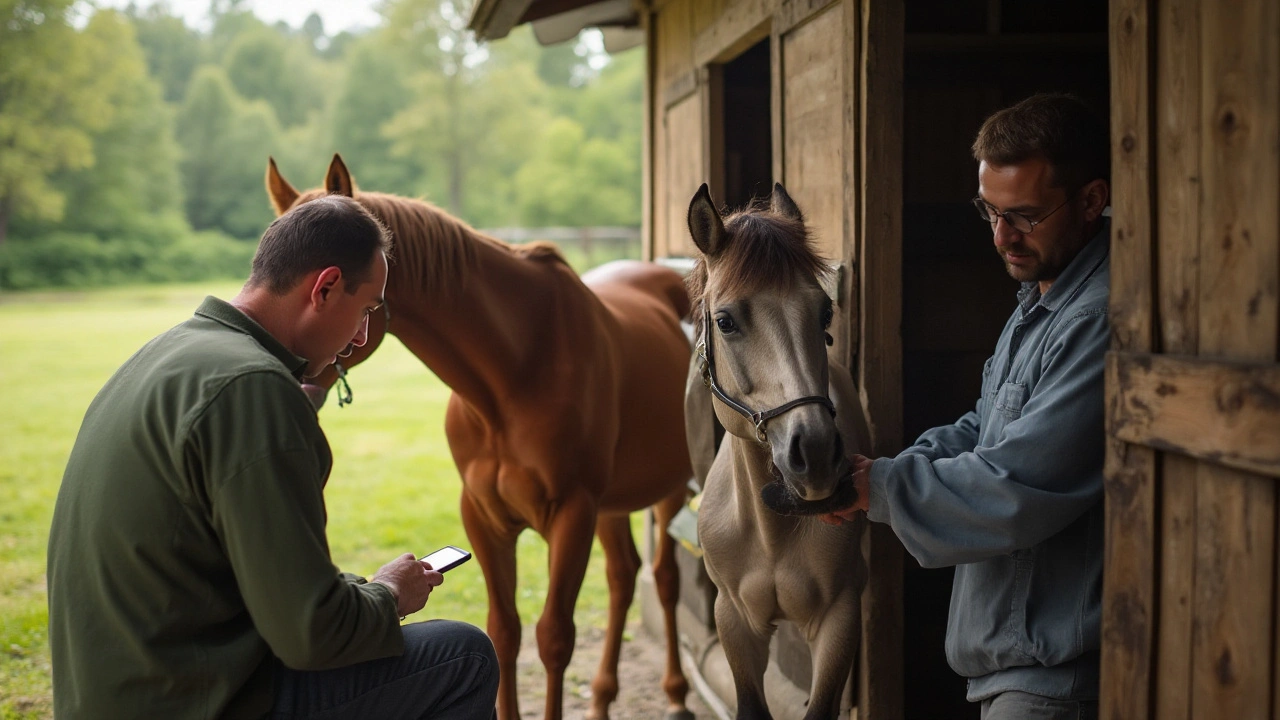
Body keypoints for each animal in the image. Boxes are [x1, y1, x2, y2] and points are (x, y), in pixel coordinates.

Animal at [263, 155, 696, 717]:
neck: (512, 375)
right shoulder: (484, 516)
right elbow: (503, 631)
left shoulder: (572, 513)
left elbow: (554, 637)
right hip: (613, 505)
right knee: (623, 577)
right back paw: (603, 699)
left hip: (668, 491)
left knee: (664, 580)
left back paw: (677, 693)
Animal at [691, 183, 870, 717]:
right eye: (725, 321)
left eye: (824, 312)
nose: (815, 454)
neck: (772, 532)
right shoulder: (734, 620)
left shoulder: (839, 618)